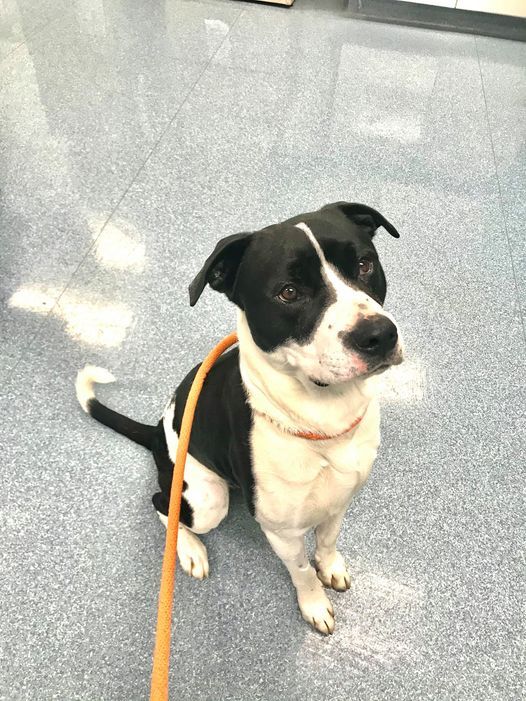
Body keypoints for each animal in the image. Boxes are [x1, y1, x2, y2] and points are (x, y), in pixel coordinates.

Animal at [75, 201, 404, 636]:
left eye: (365, 264)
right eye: (289, 292)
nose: (379, 335)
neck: (324, 419)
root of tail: (159, 433)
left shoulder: (340, 500)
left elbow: (328, 541)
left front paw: (330, 566)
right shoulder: (282, 532)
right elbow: (302, 571)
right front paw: (314, 603)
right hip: (205, 499)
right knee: (163, 504)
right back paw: (190, 550)